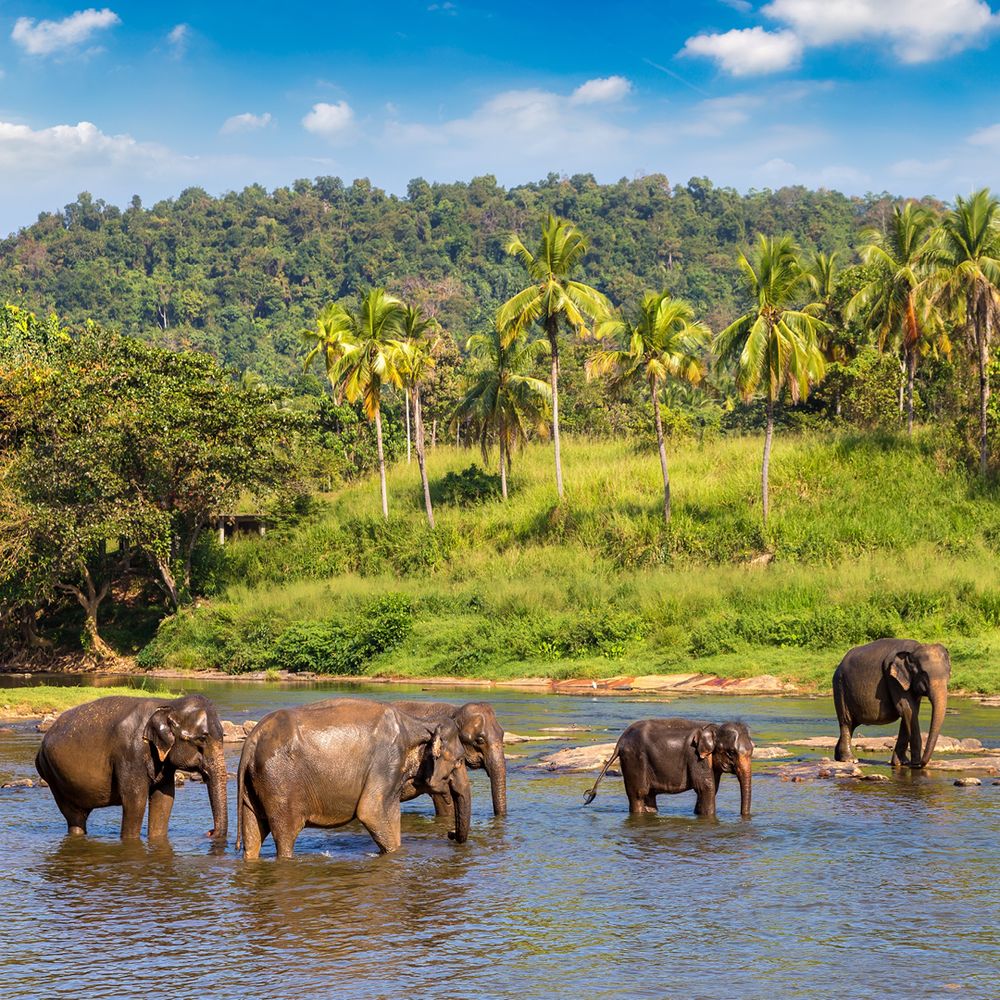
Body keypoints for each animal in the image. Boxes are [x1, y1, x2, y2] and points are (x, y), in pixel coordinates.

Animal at [35, 694, 228, 841]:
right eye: (202, 738)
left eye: (223, 736)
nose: (210, 831)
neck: (170, 703)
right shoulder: (130, 753)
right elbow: (135, 801)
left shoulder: (163, 763)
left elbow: (164, 800)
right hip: (52, 774)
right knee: (73, 815)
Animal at [236, 698, 472, 858]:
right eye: (460, 760)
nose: (450, 833)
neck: (419, 723)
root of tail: (252, 740)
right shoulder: (386, 761)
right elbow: (371, 812)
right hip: (280, 783)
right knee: (285, 835)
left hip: (254, 785)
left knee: (253, 835)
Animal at [584, 718, 754, 817]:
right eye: (731, 753)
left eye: (752, 750)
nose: (744, 817)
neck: (714, 729)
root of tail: (620, 742)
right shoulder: (696, 757)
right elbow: (707, 788)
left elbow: (709, 789)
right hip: (634, 760)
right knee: (638, 795)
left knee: (649, 795)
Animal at [832, 638, 951, 768]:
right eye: (923, 675)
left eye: (948, 674)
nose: (921, 763)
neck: (914, 649)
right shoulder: (893, 679)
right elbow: (907, 709)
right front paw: (914, 763)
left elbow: (910, 712)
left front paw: (902, 762)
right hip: (840, 687)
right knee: (846, 721)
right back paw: (850, 759)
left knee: (852, 724)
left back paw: (838, 757)